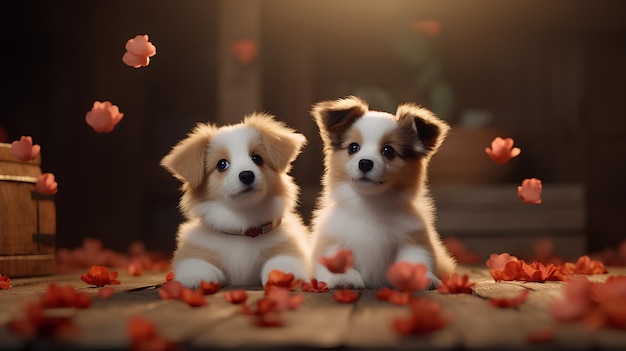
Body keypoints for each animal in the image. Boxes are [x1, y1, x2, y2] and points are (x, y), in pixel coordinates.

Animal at [160, 113, 308, 288]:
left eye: (257, 158)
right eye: (222, 164)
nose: (247, 175)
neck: (242, 224)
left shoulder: (287, 246)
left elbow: (283, 261)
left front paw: (282, 277)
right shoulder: (195, 249)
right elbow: (195, 263)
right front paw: (197, 278)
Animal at [310, 95, 456, 288]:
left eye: (388, 150)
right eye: (353, 147)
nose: (365, 163)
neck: (371, 204)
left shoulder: (413, 238)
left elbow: (415, 258)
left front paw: (417, 277)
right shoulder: (334, 236)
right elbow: (334, 256)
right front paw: (342, 278)